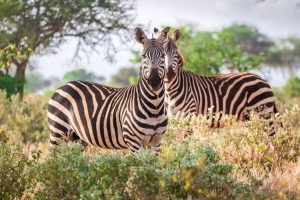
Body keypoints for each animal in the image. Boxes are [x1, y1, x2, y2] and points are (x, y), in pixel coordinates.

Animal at [46, 27, 171, 155]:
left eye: (163, 55)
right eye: (143, 56)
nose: (154, 81)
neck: (154, 107)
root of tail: (64, 85)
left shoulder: (156, 142)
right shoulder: (133, 142)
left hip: (77, 137)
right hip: (58, 131)